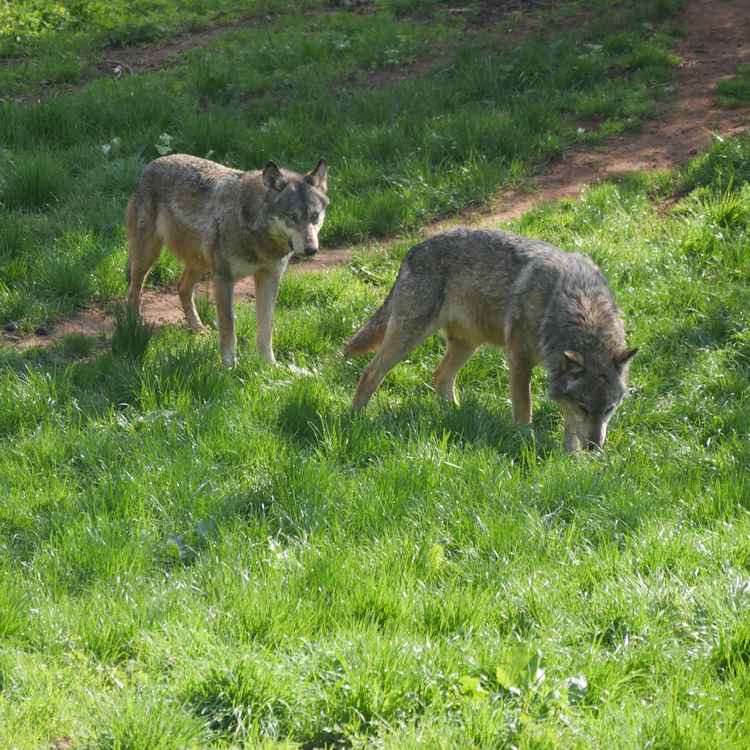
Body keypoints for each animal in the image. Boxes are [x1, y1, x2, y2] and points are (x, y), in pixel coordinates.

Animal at [126, 154, 328, 366]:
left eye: (314, 216)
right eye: (292, 216)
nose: (312, 250)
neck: (257, 234)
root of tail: (154, 162)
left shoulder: (269, 279)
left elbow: (266, 330)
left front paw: (270, 365)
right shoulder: (224, 279)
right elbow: (228, 327)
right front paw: (229, 365)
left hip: (200, 264)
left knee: (182, 288)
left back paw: (198, 329)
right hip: (148, 257)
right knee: (134, 290)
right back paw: (133, 325)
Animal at [345, 227, 637, 451]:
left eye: (609, 409)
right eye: (585, 408)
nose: (595, 448)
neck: (578, 304)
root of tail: (413, 249)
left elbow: (569, 426)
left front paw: (571, 459)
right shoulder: (518, 358)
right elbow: (524, 407)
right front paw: (524, 440)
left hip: (467, 344)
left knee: (440, 377)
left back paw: (456, 415)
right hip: (409, 337)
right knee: (370, 372)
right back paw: (356, 419)